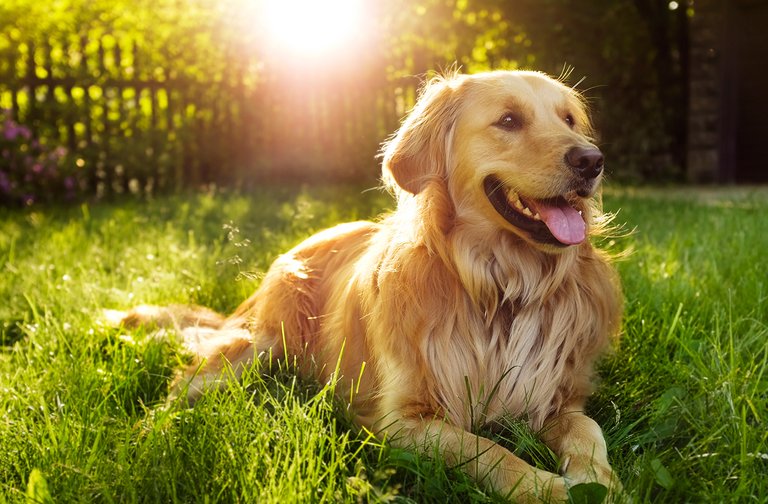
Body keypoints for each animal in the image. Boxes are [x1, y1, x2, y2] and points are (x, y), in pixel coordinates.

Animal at [114, 70, 624, 500]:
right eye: (509, 120)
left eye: (569, 119)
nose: (593, 160)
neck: (502, 288)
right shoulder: (402, 419)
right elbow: (489, 451)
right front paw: (549, 488)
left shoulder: (556, 396)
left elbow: (588, 430)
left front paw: (598, 480)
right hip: (258, 346)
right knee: (179, 390)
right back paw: (147, 440)